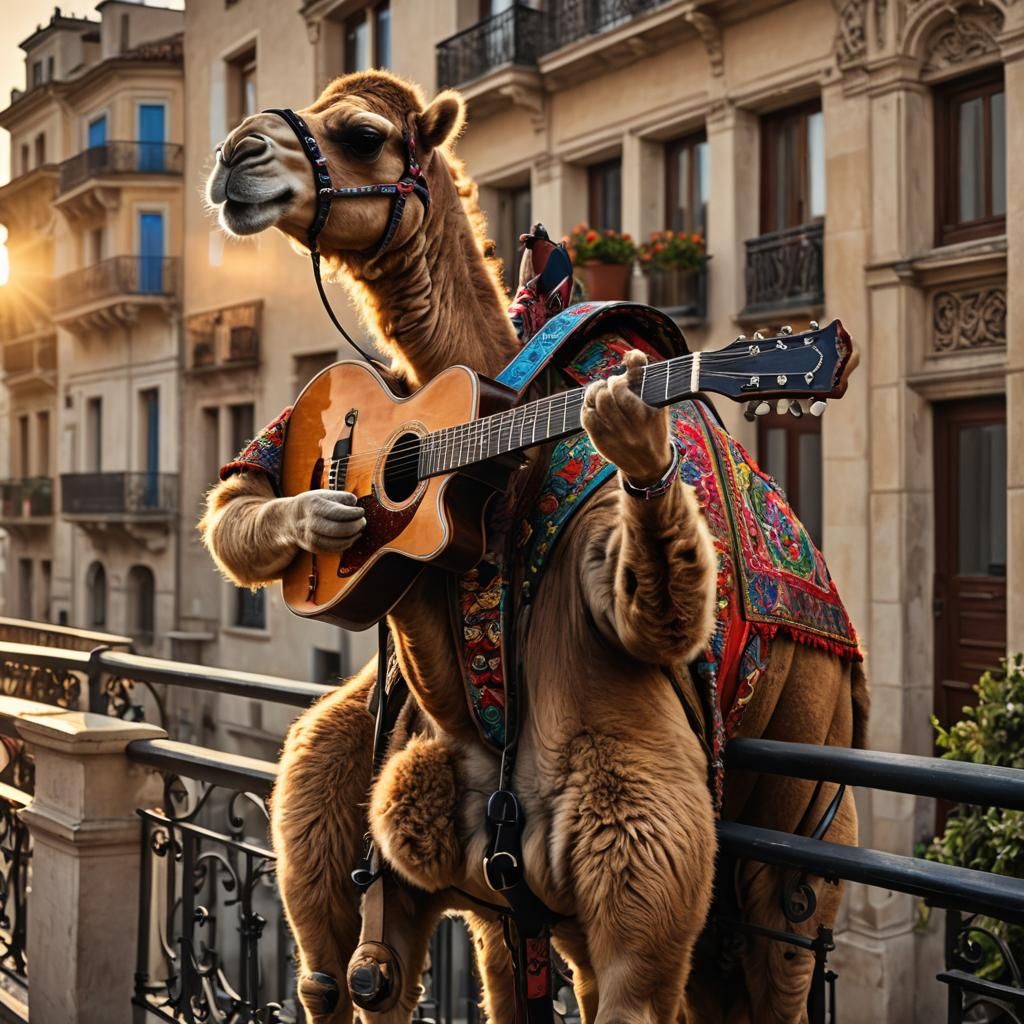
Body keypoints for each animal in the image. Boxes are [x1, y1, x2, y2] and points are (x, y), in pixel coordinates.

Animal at [200, 70, 868, 1024]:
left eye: (364, 135)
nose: (236, 154)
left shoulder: (634, 890)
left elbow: (656, 625)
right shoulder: (452, 897)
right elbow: (236, 495)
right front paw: (324, 512)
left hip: (798, 801)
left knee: (776, 950)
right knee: (327, 970)